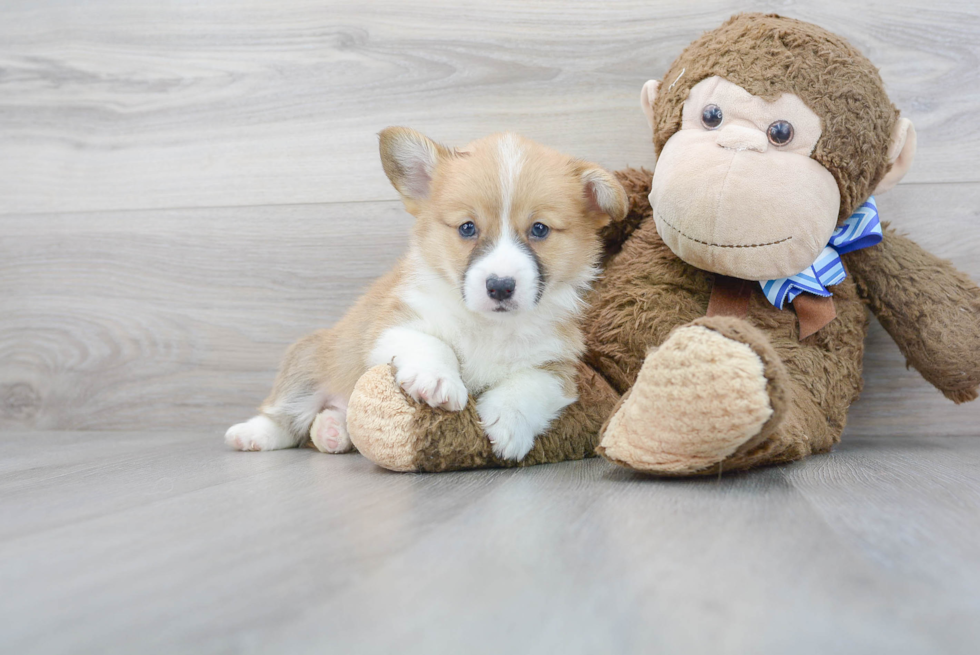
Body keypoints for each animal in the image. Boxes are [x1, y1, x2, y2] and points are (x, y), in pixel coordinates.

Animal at [224, 128, 628, 462]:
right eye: (467, 227)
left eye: (539, 229)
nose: (500, 285)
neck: (488, 326)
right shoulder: (393, 327)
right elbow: (433, 343)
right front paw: (437, 381)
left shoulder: (557, 367)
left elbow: (529, 385)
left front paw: (507, 422)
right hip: (308, 366)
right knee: (284, 416)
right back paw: (252, 434)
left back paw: (333, 430)